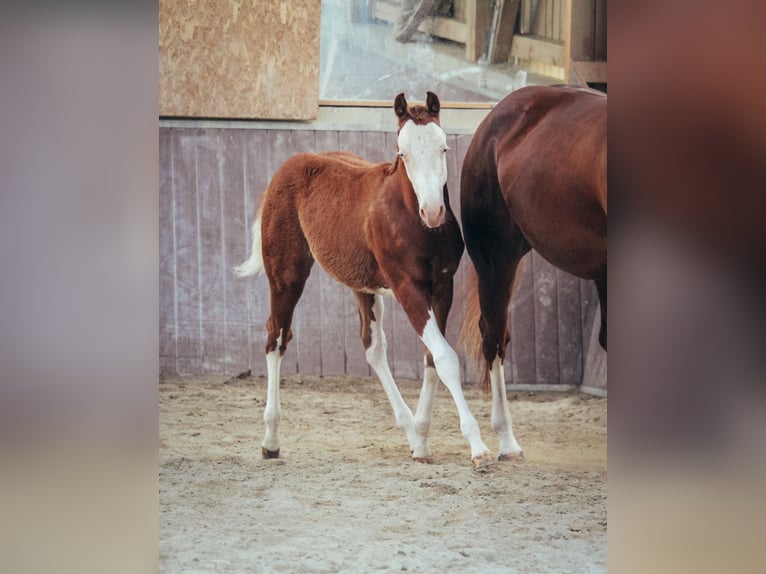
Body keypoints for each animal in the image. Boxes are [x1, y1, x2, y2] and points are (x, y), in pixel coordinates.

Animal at [235, 92, 497, 469]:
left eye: (444, 147)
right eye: (402, 152)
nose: (433, 212)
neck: (415, 224)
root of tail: (288, 166)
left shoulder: (442, 288)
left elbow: (433, 356)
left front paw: (423, 438)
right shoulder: (407, 288)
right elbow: (445, 358)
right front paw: (479, 449)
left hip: (362, 285)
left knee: (373, 347)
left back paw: (411, 433)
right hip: (286, 275)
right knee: (277, 336)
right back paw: (270, 441)